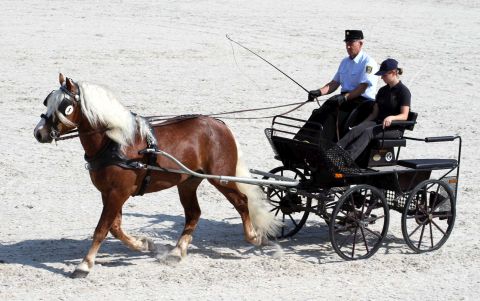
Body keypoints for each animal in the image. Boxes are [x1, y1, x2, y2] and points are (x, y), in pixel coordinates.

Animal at [33, 72, 280, 276]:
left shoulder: (118, 193)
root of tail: (220, 124)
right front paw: (143, 244)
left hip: (221, 178)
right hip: (188, 182)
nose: (39, 133)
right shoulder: (109, 193)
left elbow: (102, 228)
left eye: (65, 106)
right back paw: (177, 251)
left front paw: (84, 264)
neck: (115, 143)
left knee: (242, 201)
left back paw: (253, 236)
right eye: (47, 101)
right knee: (194, 213)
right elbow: (115, 227)